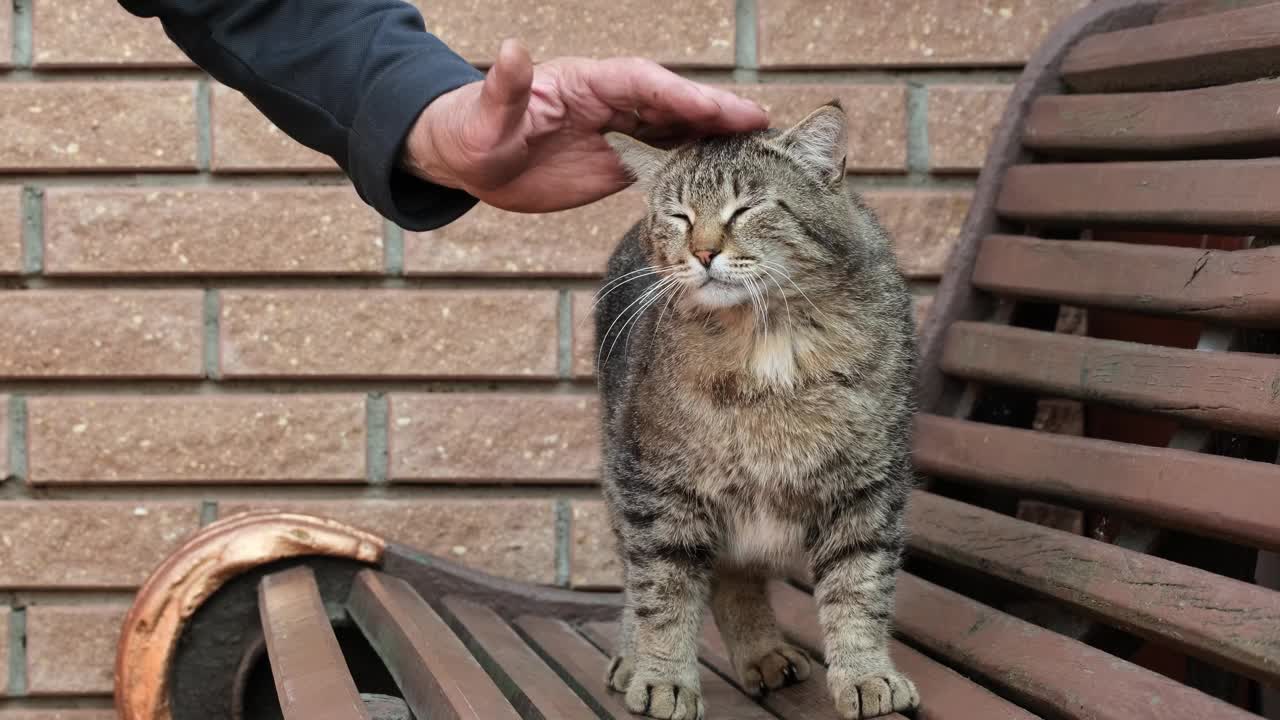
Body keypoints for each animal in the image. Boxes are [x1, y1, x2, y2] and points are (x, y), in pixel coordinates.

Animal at [591, 102, 921, 717]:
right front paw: (664, 677)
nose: (703, 252)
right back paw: (633, 656)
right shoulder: (655, 488)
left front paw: (867, 673)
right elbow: (662, 593)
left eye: (746, 208)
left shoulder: (868, 488)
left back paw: (764, 653)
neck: (765, 339)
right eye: (678, 216)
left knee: (736, 575)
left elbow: (860, 587)